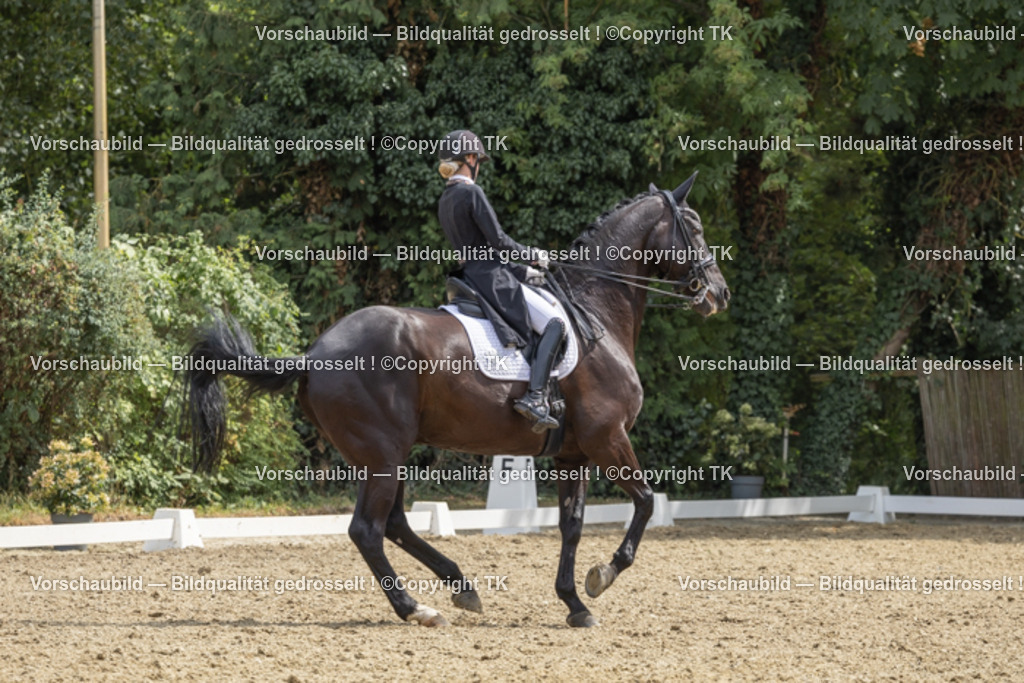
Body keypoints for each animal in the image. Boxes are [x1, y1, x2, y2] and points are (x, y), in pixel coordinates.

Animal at [183, 172, 730, 628]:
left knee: (394, 524)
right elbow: (645, 502)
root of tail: (314, 354)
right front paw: (604, 575)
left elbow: (571, 526)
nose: (719, 294)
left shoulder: (574, 453)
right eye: (695, 228)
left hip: (382, 455)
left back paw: (461, 586)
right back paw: (416, 608)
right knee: (367, 530)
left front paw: (574, 602)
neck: (595, 311)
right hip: (383, 453)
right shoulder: (607, 438)